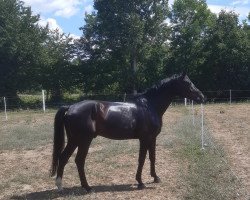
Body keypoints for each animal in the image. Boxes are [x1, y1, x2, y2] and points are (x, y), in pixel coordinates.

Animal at [49, 72, 204, 192]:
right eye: (188, 83)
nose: (202, 97)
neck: (149, 106)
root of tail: (70, 107)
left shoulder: (152, 138)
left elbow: (152, 157)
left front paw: (155, 177)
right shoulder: (144, 138)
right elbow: (141, 159)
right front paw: (140, 182)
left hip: (74, 140)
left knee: (63, 158)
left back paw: (60, 187)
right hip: (84, 140)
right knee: (79, 160)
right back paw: (87, 187)